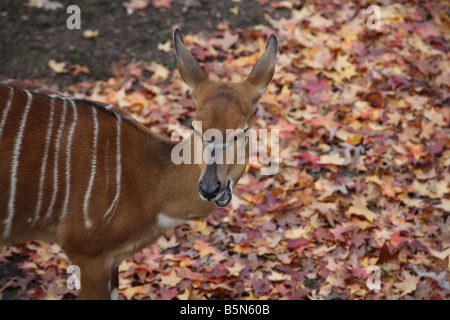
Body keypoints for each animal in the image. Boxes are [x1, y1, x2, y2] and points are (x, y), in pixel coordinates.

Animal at [0, 28, 278, 298]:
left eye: (241, 131)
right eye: (193, 127)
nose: (210, 188)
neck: (147, 191)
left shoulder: (110, 261)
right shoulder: (85, 254)